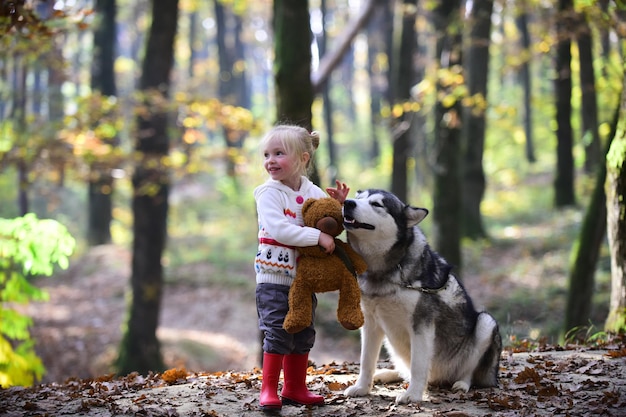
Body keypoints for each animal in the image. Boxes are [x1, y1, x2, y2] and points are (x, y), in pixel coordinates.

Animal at [338, 189, 500, 404]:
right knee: (403, 369)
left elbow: (418, 365)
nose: (348, 203)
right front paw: (362, 388)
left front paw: (413, 395)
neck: (384, 270)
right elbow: (366, 361)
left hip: (485, 323)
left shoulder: (421, 325)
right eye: (358, 197)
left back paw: (462, 384)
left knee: (468, 372)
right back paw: (385, 374)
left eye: (377, 204)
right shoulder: (370, 324)